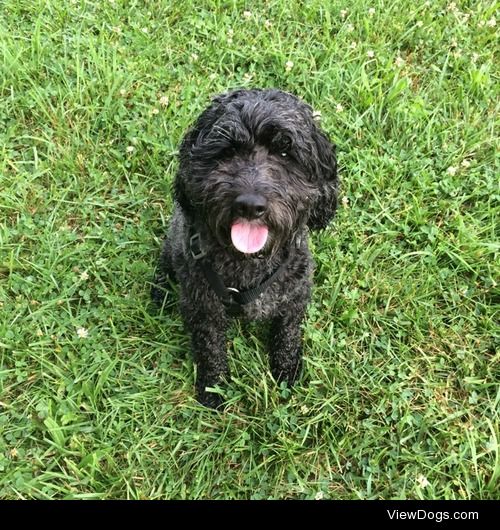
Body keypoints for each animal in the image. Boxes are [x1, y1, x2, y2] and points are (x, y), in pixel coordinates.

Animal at [154, 88, 338, 406]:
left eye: (285, 152)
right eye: (227, 151)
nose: (250, 205)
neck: (248, 261)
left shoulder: (295, 296)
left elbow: (288, 333)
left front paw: (287, 370)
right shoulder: (204, 307)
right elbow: (210, 347)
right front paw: (213, 387)